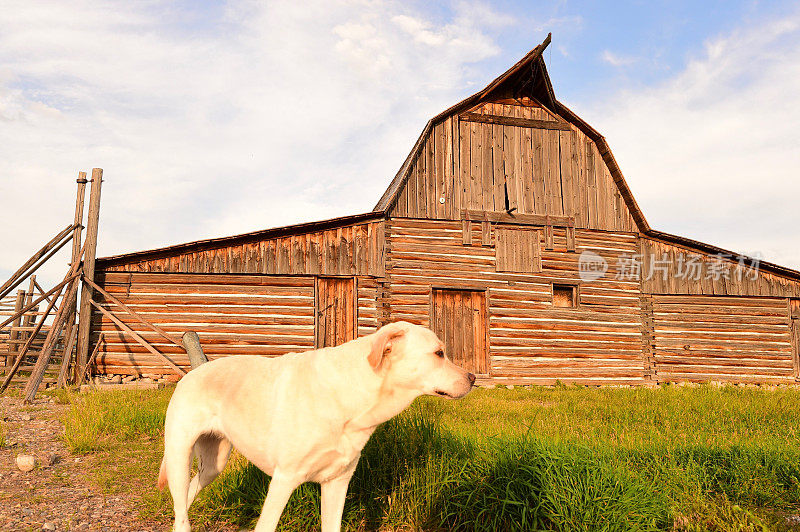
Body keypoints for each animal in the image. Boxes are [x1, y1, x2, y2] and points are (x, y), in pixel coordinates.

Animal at [159, 320, 478, 532]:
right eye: (439, 353)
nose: (473, 378)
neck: (352, 395)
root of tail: (195, 370)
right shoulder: (283, 480)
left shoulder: (337, 483)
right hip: (178, 456)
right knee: (181, 508)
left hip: (214, 464)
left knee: (186, 499)